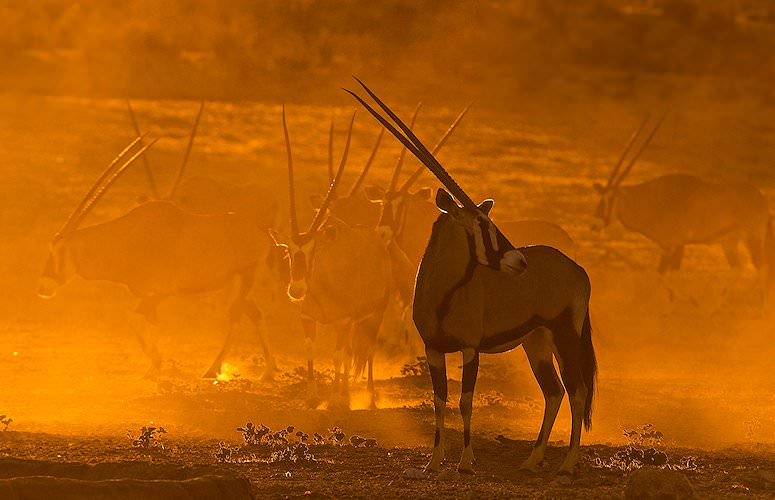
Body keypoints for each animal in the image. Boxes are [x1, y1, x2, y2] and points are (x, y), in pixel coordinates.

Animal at [39, 137, 278, 378]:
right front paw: (154, 367)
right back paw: (268, 370)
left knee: (236, 317)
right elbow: (151, 324)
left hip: (245, 277)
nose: (43, 287)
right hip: (234, 284)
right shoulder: (149, 295)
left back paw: (214, 369)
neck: (126, 239)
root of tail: (262, 233)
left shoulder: (161, 292)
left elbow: (134, 318)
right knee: (256, 315)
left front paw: (156, 361)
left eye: (61, 250)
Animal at [272, 107, 394, 408]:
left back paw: (367, 396)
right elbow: (312, 350)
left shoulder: (343, 322)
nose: (296, 290)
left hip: (374, 316)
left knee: (367, 351)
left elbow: (339, 357)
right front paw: (314, 396)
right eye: (288, 250)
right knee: (352, 354)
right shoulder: (308, 319)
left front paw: (338, 398)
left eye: (313, 250)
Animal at [596, 115, 768, 302]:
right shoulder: (667, 248)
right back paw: (718, 305)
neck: (653, 199)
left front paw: (686, 302)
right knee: (739, 267)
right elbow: (661, 276)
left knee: (761, 269)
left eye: (609, 199)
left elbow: (672, 276)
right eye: (601, 198)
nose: (595, 224)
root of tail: (761, 198)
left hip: (753, 238)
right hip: (729, 242)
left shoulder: (677, 245)